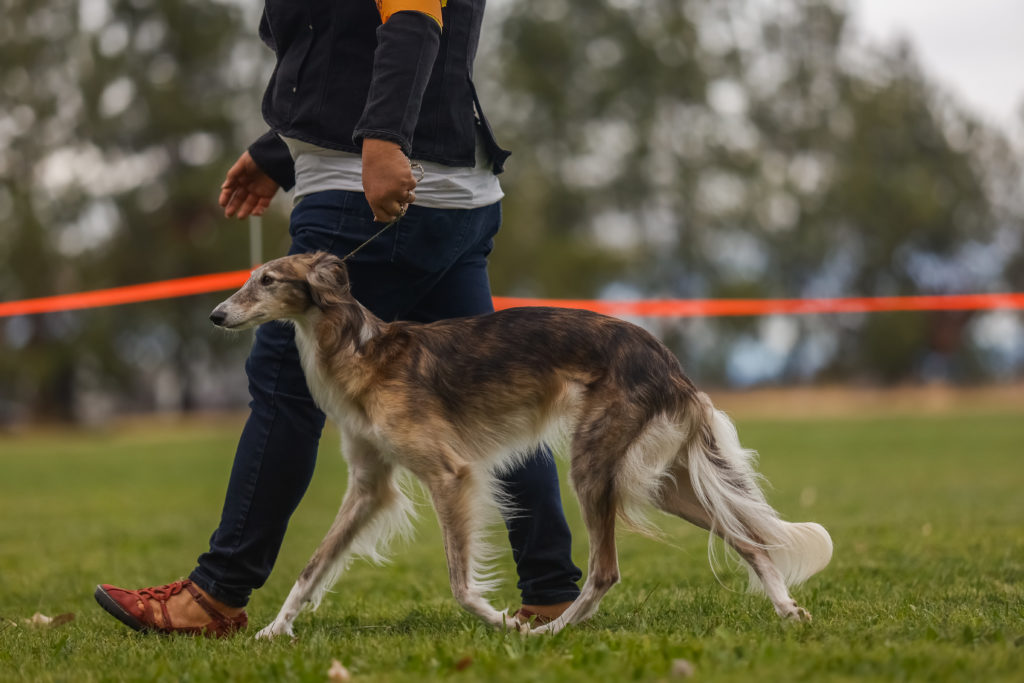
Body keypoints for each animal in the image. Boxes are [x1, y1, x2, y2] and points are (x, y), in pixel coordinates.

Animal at [209, 252, 831, 643]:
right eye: (252, 277)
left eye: (268, 280)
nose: (216, 314)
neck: (361, 352)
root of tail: (670, 364)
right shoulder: (369, 487)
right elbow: (312, 566)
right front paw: (274, 629)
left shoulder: (450, 474)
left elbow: (461, 586)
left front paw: (506, 623)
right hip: (659, 481)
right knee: (750, 542)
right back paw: (788, 611)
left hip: (593, 466)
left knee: (605, 571)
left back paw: (553, 631)